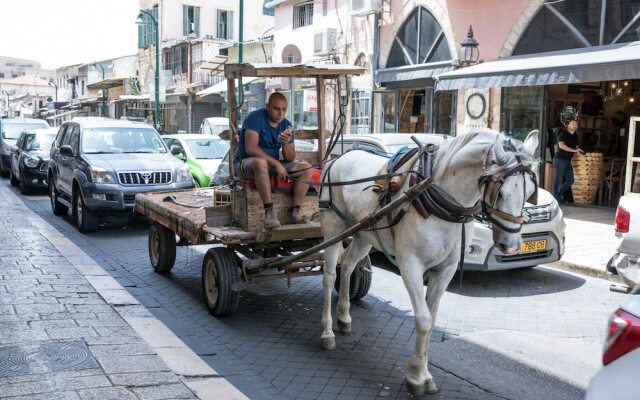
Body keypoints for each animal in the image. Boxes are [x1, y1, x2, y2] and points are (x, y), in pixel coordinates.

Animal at [318, 130, 536, 396]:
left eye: (529, 193)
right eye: (501, 192)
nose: (511, 245)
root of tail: (338, 158)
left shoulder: (446, 269)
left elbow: (432, 319)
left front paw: (423, 372)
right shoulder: (410, 264)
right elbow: (423, 320)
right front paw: (415, 377)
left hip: (363, 233)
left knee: (348, 266)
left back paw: (344, 317)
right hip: (333, 228)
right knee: (329, 276)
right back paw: (327, 332)